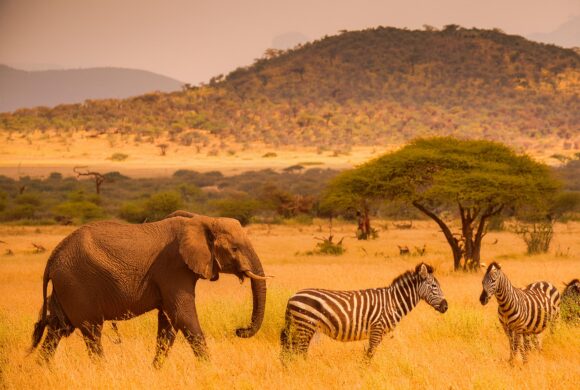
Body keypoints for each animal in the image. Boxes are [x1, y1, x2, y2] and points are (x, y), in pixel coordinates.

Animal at [30, 210, 270, 366]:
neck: (205, 220)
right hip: (76, 283)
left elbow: (168, 324)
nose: (239, 330)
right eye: (234, 248)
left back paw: (41, 370)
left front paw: (156, 370)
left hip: (66, 286)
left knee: (57, 328)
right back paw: (102, 371)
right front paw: (210, 369)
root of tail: (53, 256)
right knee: (91, 332)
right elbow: (183, 316)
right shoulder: (173, 267)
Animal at [280, 262, 448, 360]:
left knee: (290, 351)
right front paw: (365, 373)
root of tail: (292, 296)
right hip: (305, 326)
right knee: (299, 351)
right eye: (434, 286)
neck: (393, 301)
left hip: (302, 327)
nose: (446, 307)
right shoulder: (377, 329)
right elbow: (369, 355)